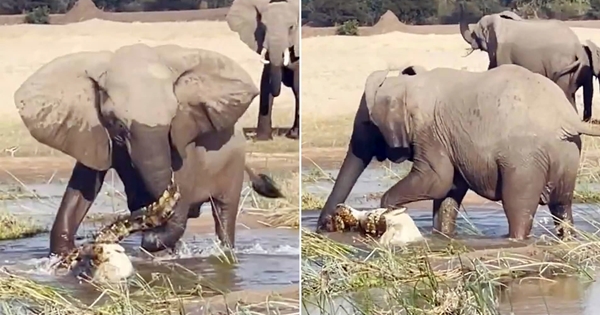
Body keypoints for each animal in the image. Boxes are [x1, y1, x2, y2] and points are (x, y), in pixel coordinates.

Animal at [14, 43, 284, 258]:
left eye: (173, 118)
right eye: (118, 124)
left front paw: (153, 243)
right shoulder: (93, 131)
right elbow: (84, 185)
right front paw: (62, 255)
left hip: (233, 165)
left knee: (224, 213)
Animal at [316, 65, 600, 241]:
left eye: (367, 123)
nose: (325, 227)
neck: (405, 84)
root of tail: (567, 118)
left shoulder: (429, 132)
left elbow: (436, 180)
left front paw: (385, 213)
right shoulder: (448, 140)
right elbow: (449, 191)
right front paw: (441, 237)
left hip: (524, 160)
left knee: (518, 208)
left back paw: (514, 240)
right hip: (566, 154)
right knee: (562, 206)